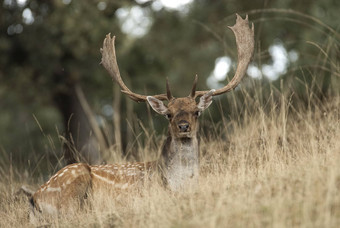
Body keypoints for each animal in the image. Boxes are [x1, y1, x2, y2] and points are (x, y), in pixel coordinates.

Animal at [26, 13, 254, 217]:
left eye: (196, 112)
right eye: (168, 114)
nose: (183, 126)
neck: (180, 182)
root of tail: (35, 199)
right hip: (74, 180)